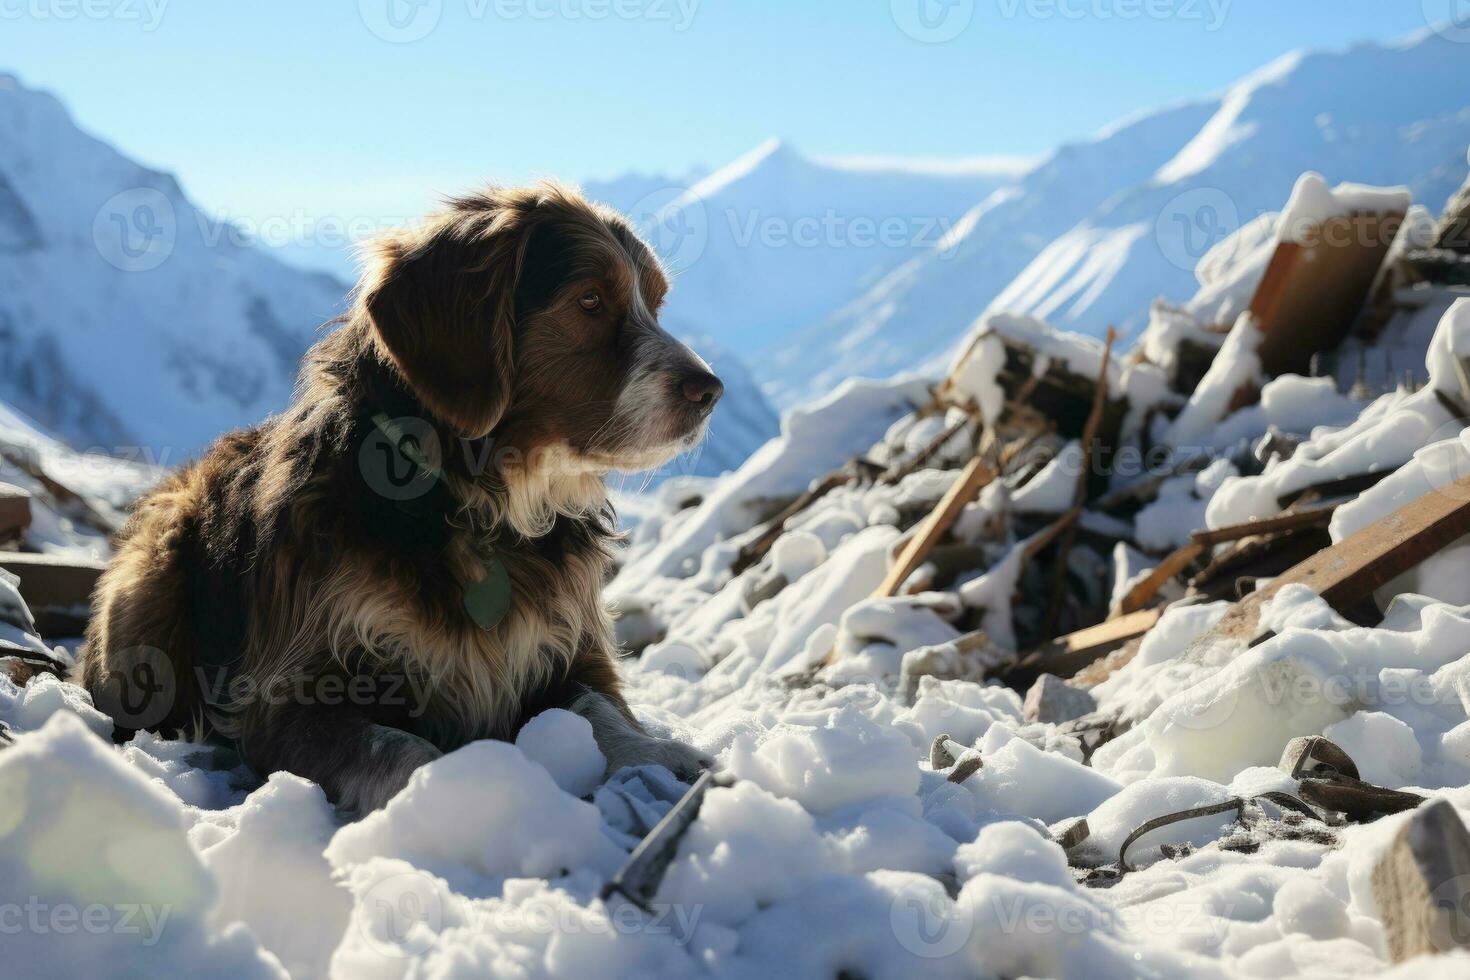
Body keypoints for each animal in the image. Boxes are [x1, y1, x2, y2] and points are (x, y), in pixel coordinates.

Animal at [80, 182, 723, 811]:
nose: (711, 391)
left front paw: (661, 756)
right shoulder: (290, 694)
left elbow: (598, 710)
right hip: (152, 581)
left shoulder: (571, 649)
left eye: (655, 304)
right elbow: (398, 747)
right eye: (589, 301)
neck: (480, 507)